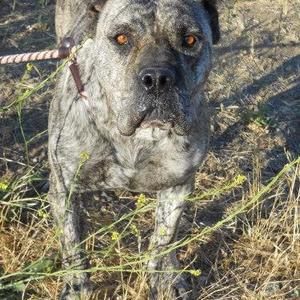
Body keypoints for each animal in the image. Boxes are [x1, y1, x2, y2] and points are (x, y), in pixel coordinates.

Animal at [50, 0, 220, 298]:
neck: (138, 138)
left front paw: (165, 279)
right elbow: (72, 247)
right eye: (121, 38)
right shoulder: (63, 190)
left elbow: (163, 240)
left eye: (190, 40)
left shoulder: (178, 186)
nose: (158, 78)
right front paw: (77, 287)